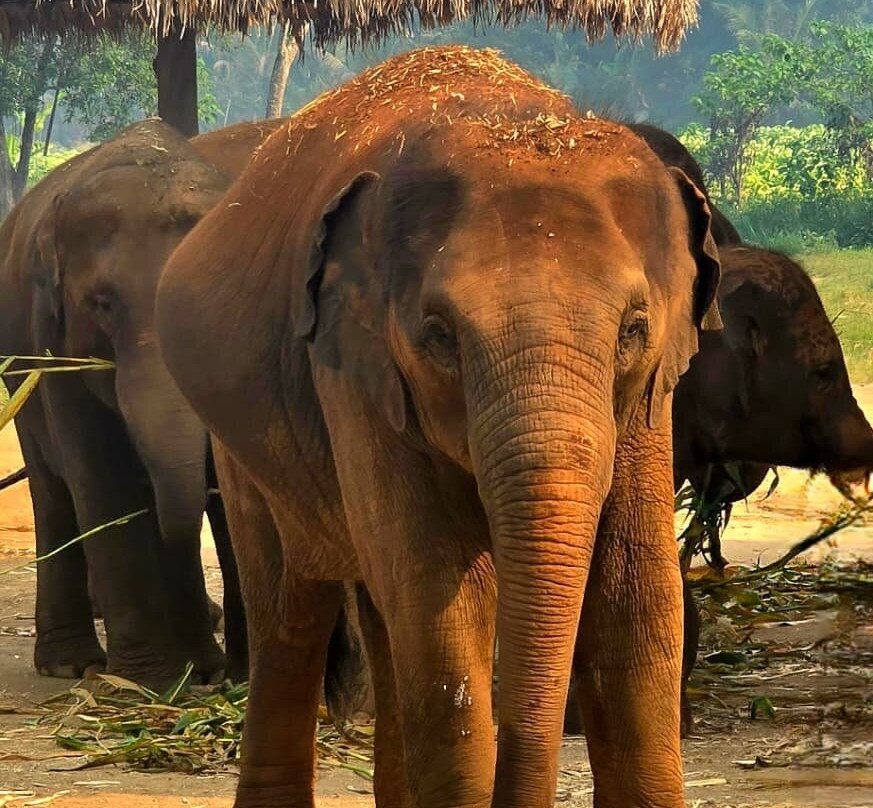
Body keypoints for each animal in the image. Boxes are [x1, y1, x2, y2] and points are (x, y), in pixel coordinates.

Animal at [0, 119, 244, 685]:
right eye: (103, 304)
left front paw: (215, 676)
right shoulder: (54, 342)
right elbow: (102, 478)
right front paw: (143, 681)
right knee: (53, 492)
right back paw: (71, 665)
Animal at [157, 46, 721, 808]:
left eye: (633, 328)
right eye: (439, 336)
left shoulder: (645, 405)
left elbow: (636, 602)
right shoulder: (355, 369)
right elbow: (445, 608)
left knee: (383, 615)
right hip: (241, 444)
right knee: (293, 616)